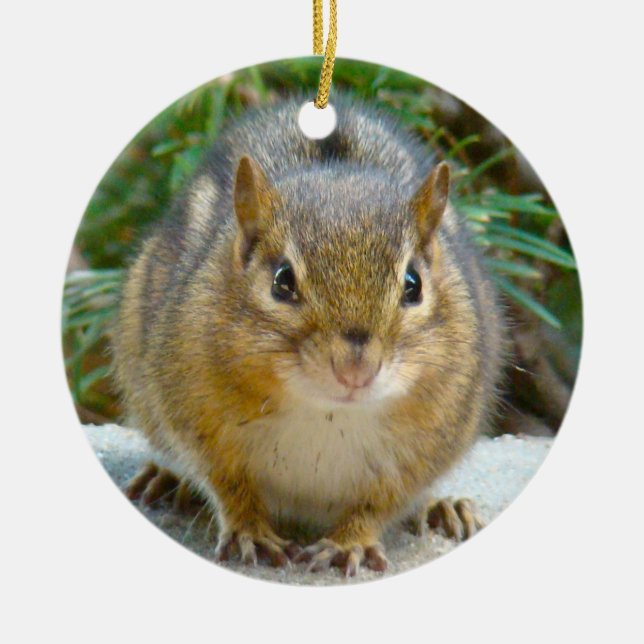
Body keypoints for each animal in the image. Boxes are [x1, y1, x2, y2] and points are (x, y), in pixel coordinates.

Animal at [112, 94, 506, 577]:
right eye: (282, 281)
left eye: (413, 284)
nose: (355, 370)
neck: (327, 412)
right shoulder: (194, 413)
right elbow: (226, 483)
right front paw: (250, 530)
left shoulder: (430, 441)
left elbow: (380, 502)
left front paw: (349, 543)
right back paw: (166, 480)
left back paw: (442, 508)